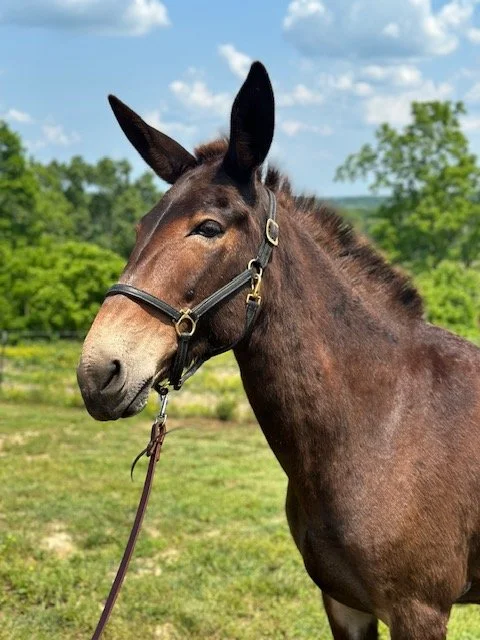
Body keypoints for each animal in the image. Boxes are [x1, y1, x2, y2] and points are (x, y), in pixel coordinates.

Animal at [77, 62, 480, 639]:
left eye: (209, 228)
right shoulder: (344, 603)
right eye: (139, 228)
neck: (385, 422)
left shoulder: (419, 611)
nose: (98, 372)